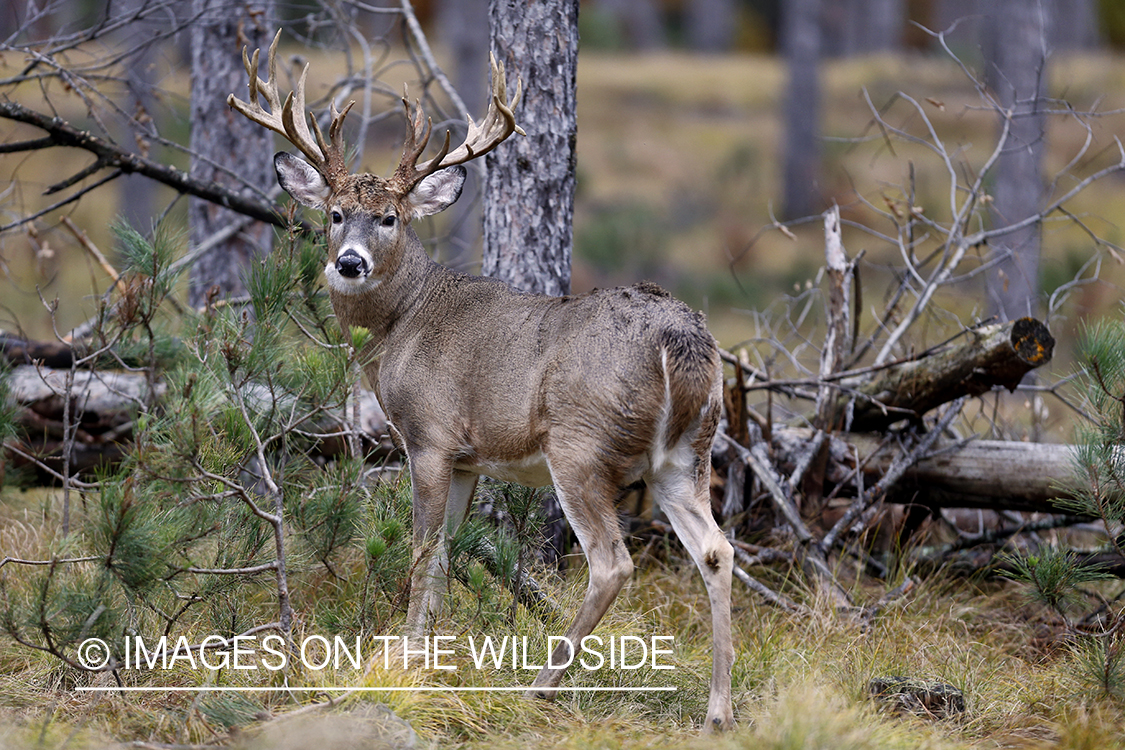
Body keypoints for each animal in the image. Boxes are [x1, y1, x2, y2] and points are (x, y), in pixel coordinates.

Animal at [230, 32, 738, 728]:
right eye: (334, 213)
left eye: (389, 218)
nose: (349, 263)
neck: (401, 325)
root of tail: (680, 339)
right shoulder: (469, 457)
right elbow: (445, 554)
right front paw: (431, 651)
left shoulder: (429, 435)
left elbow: (422, 553)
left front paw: (403, 658)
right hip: (688, 452)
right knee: (718, 550)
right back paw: (718, 712)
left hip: (580, 445)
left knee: (612, 563)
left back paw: (543, 684)